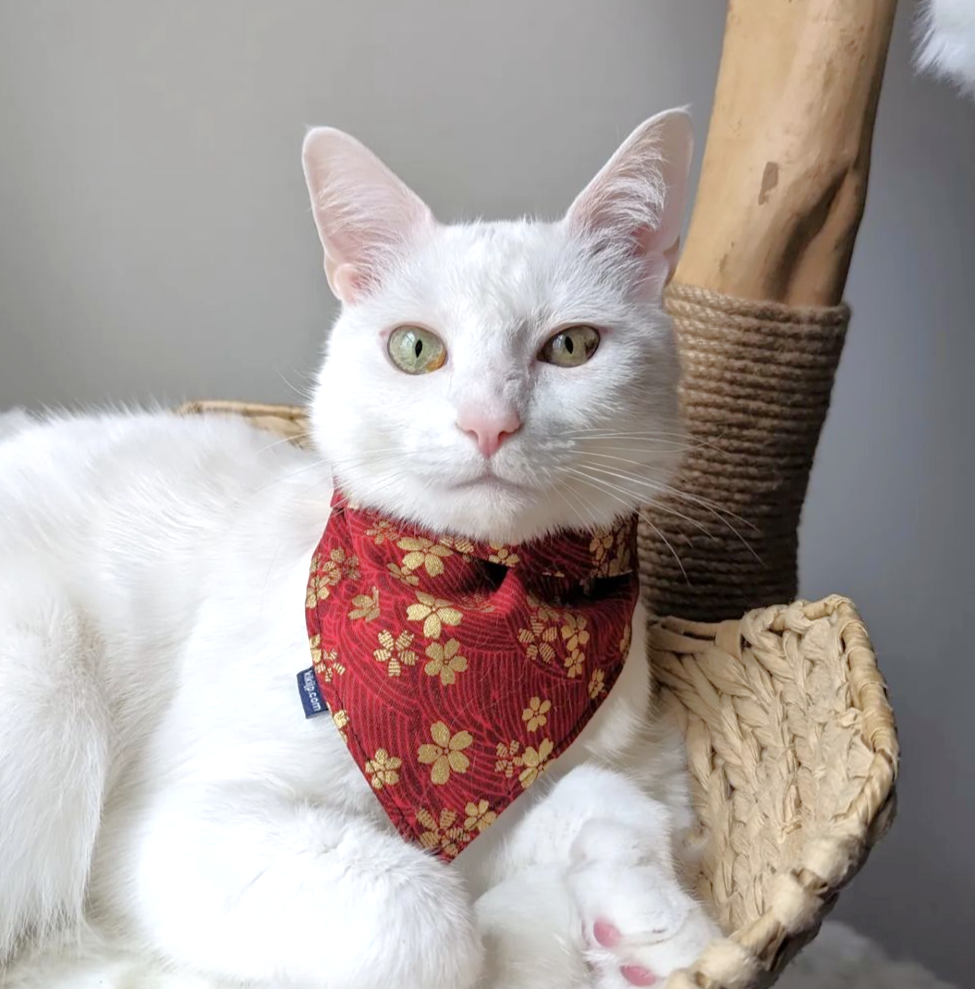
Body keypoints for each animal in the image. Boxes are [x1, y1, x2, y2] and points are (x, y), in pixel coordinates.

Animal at [0, 110, 720, 988]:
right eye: (415, 349)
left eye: (573, 346)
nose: (488, 422)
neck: (478, 609)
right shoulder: (173, 823)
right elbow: (429, 919)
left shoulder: (538, 791)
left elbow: (609, 801)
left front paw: (651, 923)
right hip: (43, 685)